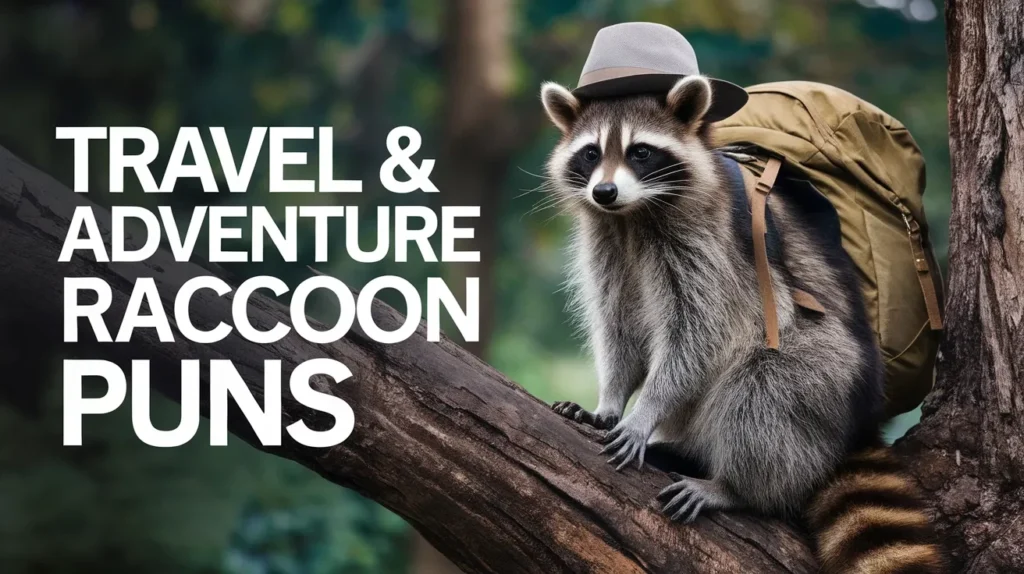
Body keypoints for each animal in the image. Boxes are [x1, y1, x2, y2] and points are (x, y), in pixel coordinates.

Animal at [540, 76, 946, 574]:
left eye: (641, 152)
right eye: (590, 153)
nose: (604, 193)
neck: (631, 216)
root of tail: (858, 424)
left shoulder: (709, 245)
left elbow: (698, 335)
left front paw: (645, 411)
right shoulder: (607, 245)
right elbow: (619, 329)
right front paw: (610, 401)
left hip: (827, 368)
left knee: (763, 388)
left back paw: (735, 487)